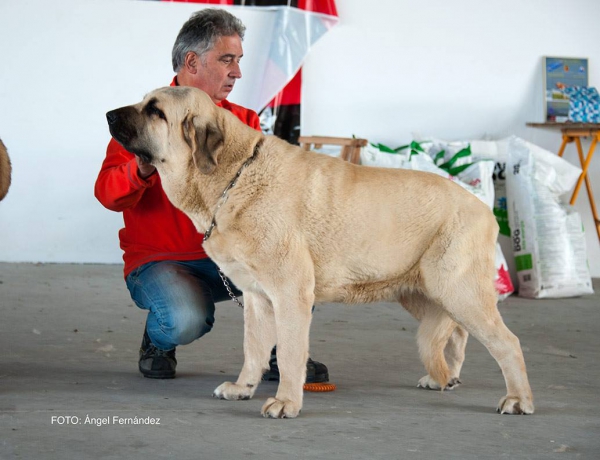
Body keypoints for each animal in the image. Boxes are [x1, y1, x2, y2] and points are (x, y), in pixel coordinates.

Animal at [106, 86, 536, 416]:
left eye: (155, 110)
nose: (109, 113)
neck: (233, 177)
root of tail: (483, 208)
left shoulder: (290, 292)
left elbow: (289, 351)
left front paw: (285, 402)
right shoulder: (257, 297)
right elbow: (254, 348)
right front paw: (244, 388)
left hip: (457, 290)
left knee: (506, 342)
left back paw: (518, 399)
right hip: (423, 292)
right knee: (456, 332)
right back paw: (445, 377)